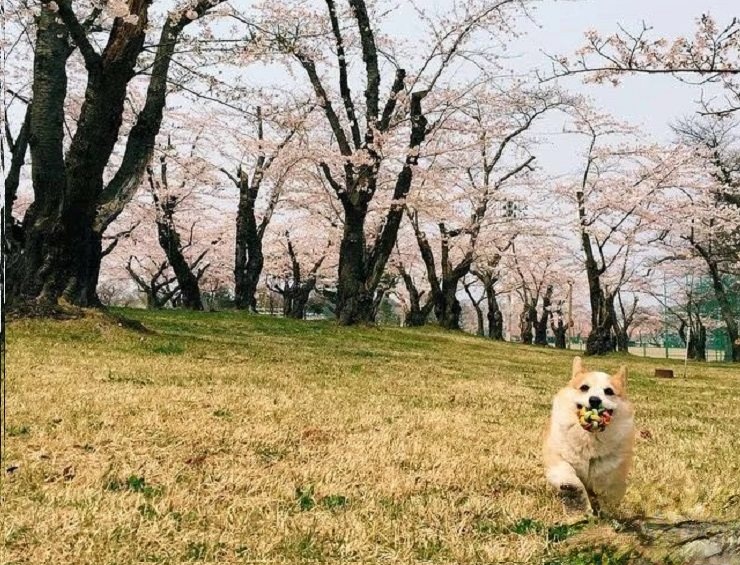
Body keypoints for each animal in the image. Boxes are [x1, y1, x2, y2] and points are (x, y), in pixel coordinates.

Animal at [544, 360, 636, 512]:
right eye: (584, 387)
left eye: (609, 391)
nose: (594, 400)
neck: (590, 437)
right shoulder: (557, 457)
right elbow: (566, 472)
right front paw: (572, 490)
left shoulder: (613, 471)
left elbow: (607, 487)